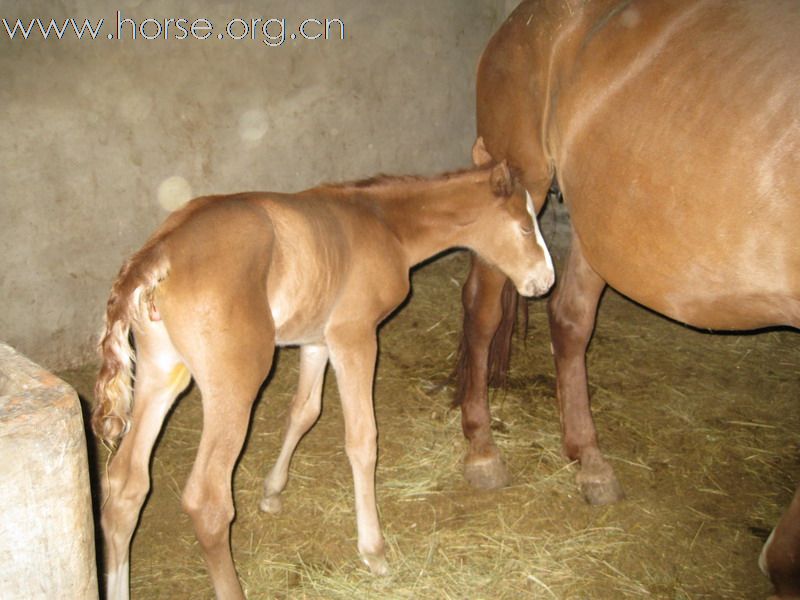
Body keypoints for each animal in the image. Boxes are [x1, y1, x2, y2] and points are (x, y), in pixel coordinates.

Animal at [94, 161, 552, 600]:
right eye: (525, 226)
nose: (545, 280)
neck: (384, 224)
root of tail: (161, 251)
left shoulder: (316, 341)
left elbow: (304, 412)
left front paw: (272, 492)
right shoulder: (355, 336)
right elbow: (362, 439)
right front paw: (374, 550)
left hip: (161, 372)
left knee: (125, 483)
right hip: (236, 385)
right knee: (207, 501)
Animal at [456, 0, 800, 596]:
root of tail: (519, 20)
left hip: (598, 220)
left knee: (569, 319)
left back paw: (590, 460)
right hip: (522, 185)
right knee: (482, 310)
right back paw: (482, 450)